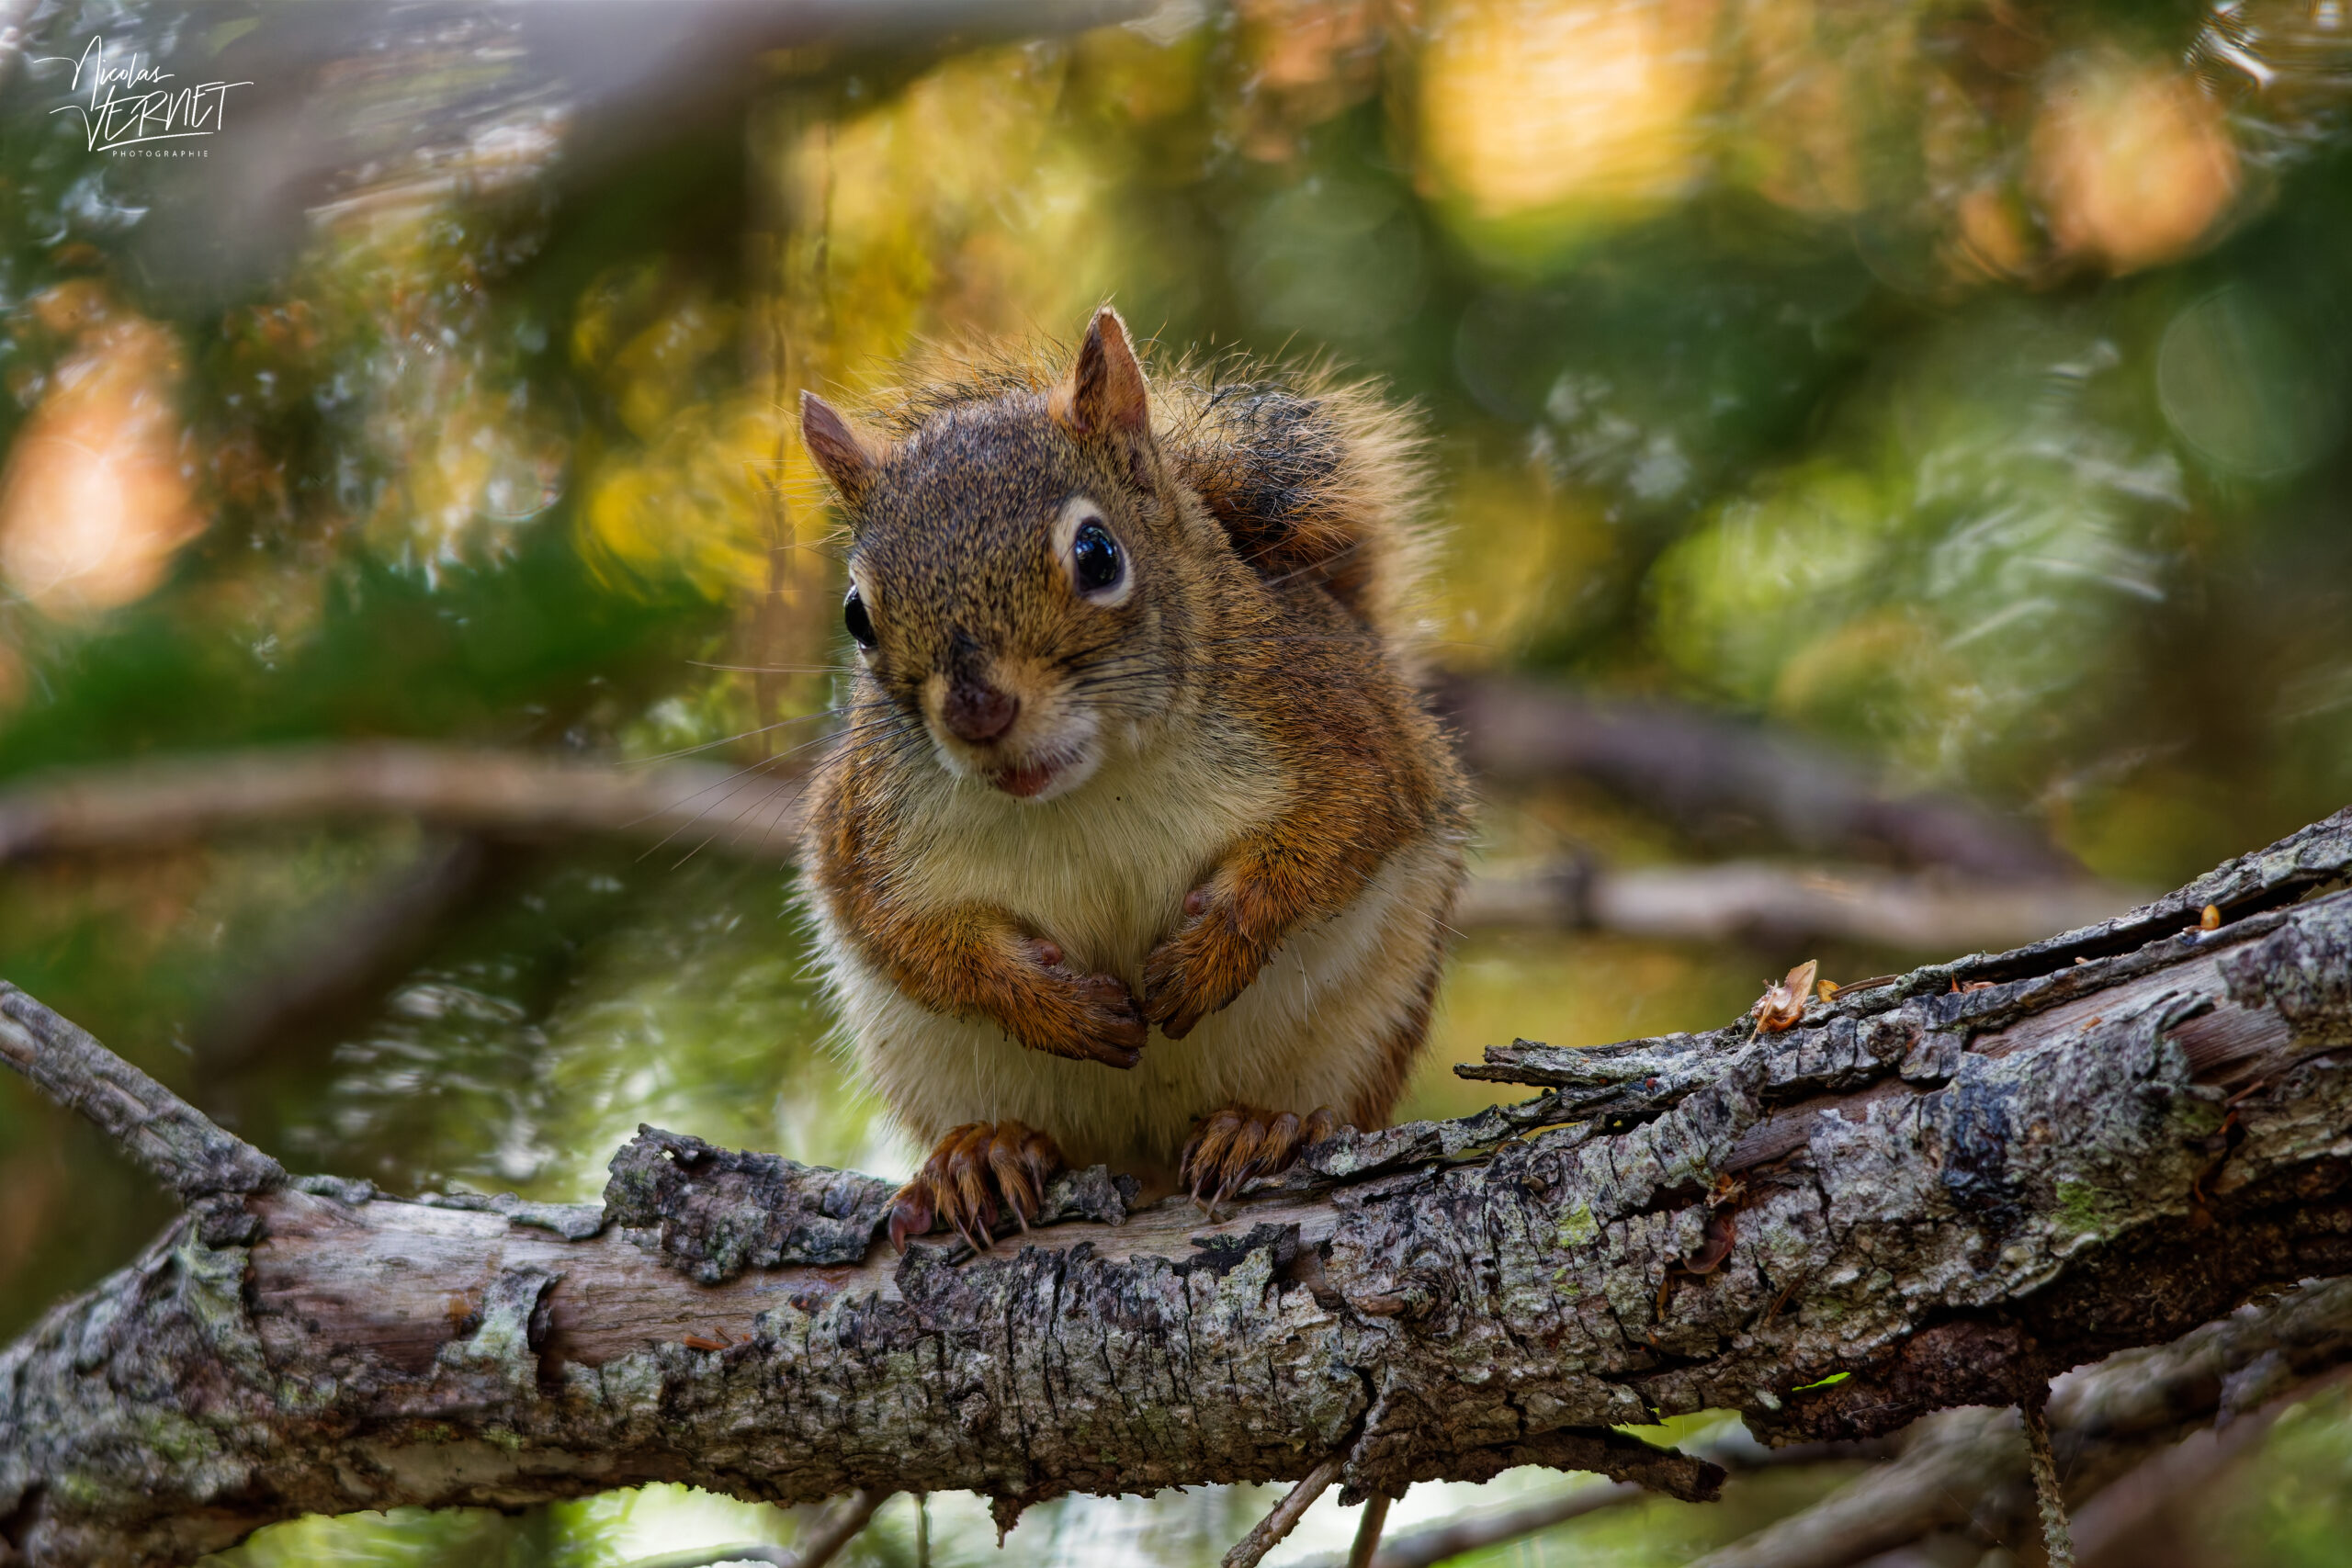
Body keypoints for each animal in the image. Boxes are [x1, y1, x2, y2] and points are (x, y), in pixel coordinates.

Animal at [795, 305, 1470, 1251]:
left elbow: (1335, 836)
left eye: (1097, 552)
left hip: (1370, 1020)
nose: (978, 712)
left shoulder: (1350, 732)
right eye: (857, 614)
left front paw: (1214, 949)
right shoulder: (864, 835)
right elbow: (909, 938)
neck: (1087, 790)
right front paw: (1049, 1004)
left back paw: (1264, 1126)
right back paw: (984, 1155)